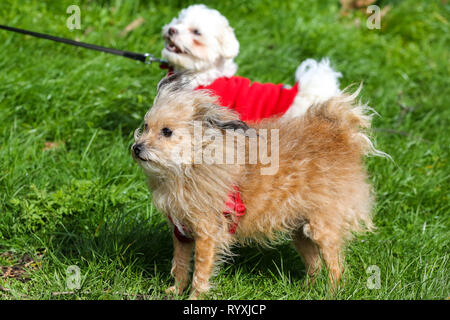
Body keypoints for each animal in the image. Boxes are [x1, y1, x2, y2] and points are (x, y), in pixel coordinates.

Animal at [132, 74, 382, 298]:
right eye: (145, 126)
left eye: (167, 132)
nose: (136, 147)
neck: (190, 165)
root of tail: (339, 136)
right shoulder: (181, 233)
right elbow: (181, 265)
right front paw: (175, 291)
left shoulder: (207, 234)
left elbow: (200, 271)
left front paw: (195, 297)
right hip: (299, 229)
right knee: (314, 264)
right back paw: (306, 290)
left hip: (322, 227)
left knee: (335, 266)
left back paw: (331, 292)